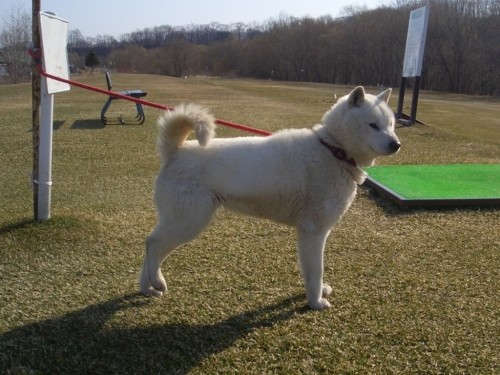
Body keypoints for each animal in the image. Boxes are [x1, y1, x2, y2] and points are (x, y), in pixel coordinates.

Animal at [141, 86, 402, 310]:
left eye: (390, 125)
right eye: (373, 125)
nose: (396, 144)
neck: (334, 149)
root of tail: (175, 151)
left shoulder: (312, 234)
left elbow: (311, 272)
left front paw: (317, 293)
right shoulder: (313, 232)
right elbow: (316, 271)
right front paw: (315, 302)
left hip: (183, 222)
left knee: (152, 245)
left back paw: (148, 288)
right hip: (189, 222)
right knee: (152, 244)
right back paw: (157, 282)